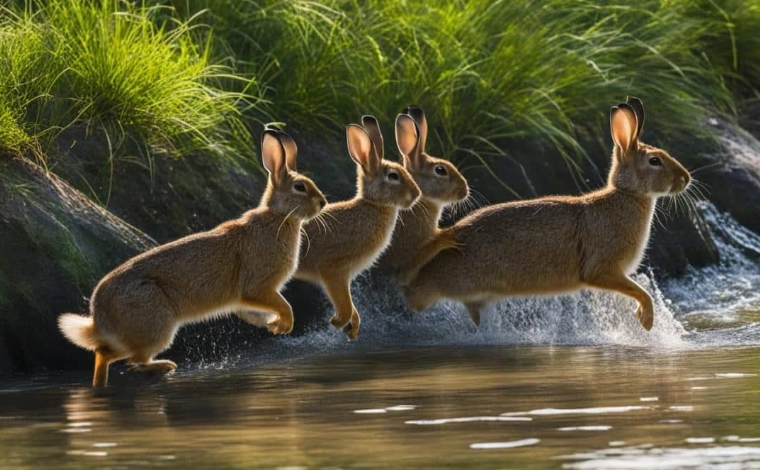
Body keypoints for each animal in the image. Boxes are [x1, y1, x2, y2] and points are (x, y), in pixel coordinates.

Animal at [58, 128, 327, 387]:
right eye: (300, 187)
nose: (323, 203)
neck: (280, 217)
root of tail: (99, 317)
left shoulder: (245, 300)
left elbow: (254, 314)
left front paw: (274, 326)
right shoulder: (258, 287)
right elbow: (283, 304)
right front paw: (286, 324)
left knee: (104, 353)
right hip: (156, 326)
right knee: (125, 357)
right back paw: (164, 366)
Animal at [294, 115, 421, 340]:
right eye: (393, 176)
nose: (416, 194)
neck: (374, 205)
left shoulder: (344, 278)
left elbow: (350, 304)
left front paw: (352, 329)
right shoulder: (334, 270)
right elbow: (344, 304)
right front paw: (337, 322)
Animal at [404, 97, 690, 329]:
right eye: (655, 161)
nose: (686, 179)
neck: (627, 194)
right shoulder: (602, 268)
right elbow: (641, 291)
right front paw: (647, 321)